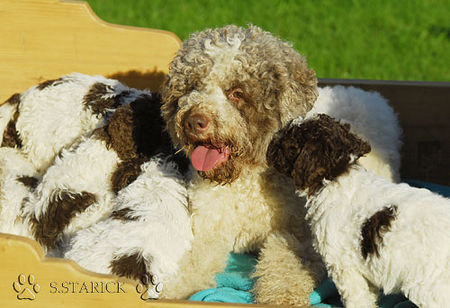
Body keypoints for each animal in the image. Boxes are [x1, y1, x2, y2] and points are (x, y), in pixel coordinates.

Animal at [268, 113, 450, 308]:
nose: (269, 145)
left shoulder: (343, 265)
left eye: (287, 144)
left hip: (428, 285)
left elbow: (357, 297)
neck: (336, 176)